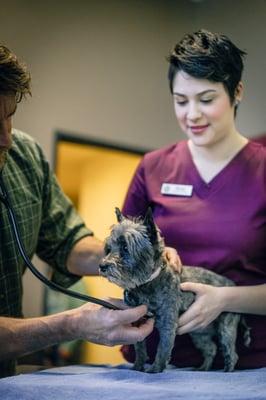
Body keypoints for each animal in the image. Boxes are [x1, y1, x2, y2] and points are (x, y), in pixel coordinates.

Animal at [98, 208, 250, 374]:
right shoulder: (137, 320)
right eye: (108, 249)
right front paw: (137, 367)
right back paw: (203, 368)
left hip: (225, 328)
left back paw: (227, 370)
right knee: (210, 349)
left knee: (231, 353)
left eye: (125, 247)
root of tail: (232, 284)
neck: (147, 284)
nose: (102, 266)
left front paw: (155, 369)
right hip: (199, 333)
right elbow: (139, 347)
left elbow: (162, 349)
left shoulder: (168, 323)